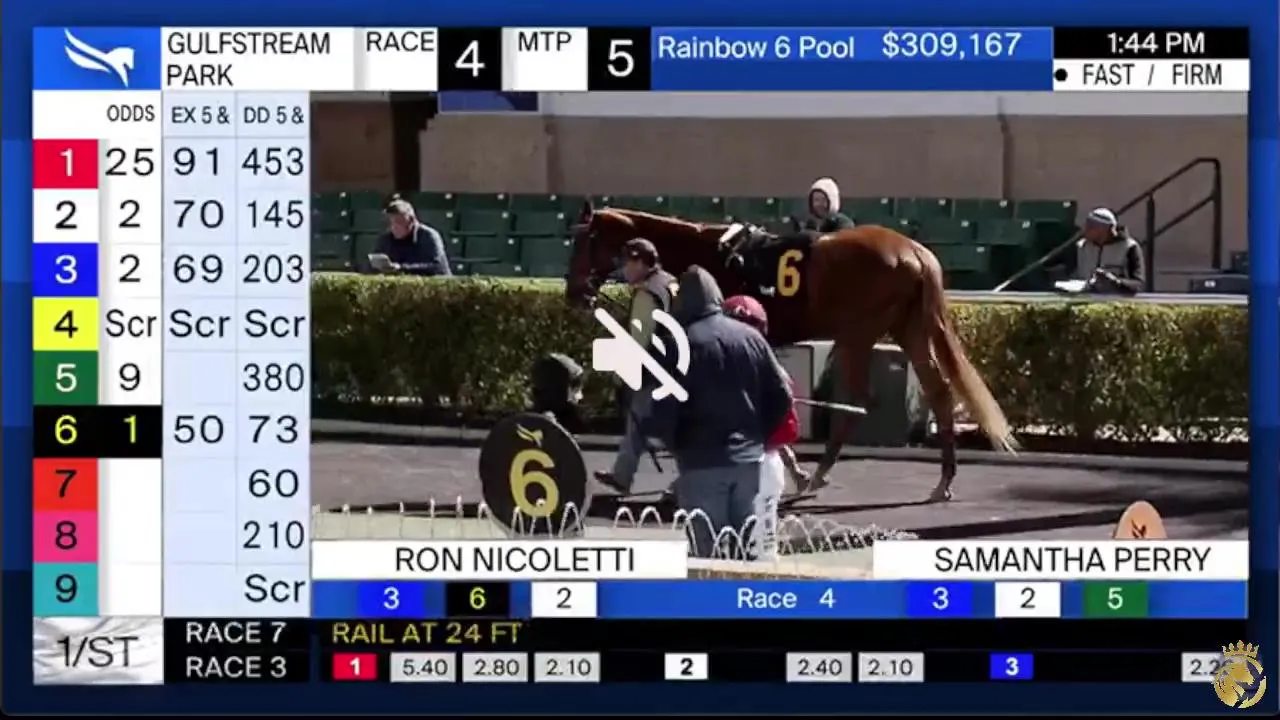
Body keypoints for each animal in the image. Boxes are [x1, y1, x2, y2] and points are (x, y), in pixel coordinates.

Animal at [565, 201, 1017, 502]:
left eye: (583, 242)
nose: (574, 293)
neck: (708, 254)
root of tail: (916, 253)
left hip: (858, 332)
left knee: (860, 397)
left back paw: (822, 472)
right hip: (909, 328)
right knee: (938, 390)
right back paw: (942, 480)